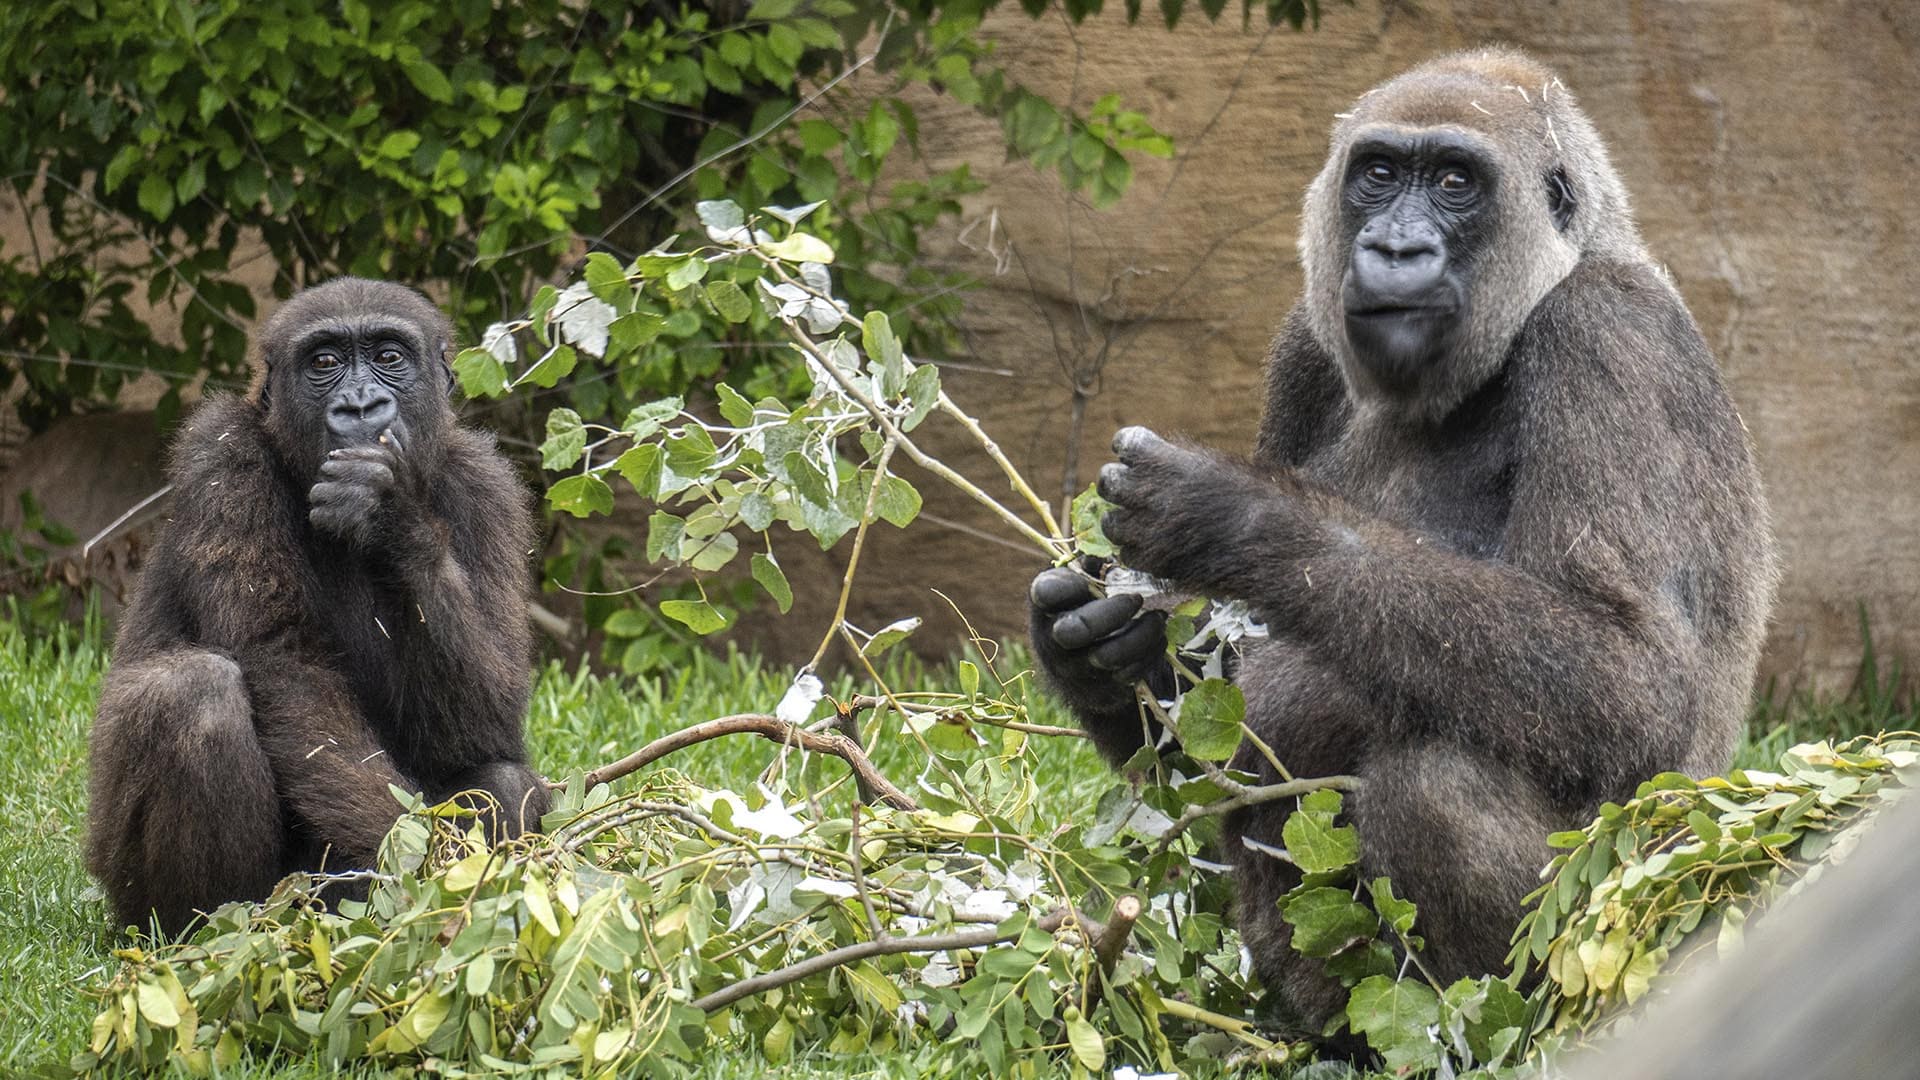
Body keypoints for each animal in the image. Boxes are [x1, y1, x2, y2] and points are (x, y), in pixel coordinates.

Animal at [90, 276, 549, 933]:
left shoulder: (489, 487)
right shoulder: (221, 456)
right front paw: (420, 882)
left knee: (504, 779)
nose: (359, 406)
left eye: (389, 356)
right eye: (325, 363)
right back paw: (209, 932)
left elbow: (490, 715)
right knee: (192, 694)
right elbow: (287, 667)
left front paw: (391, 514)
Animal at [1029, 50, 1774, 1022]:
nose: (1393, 249)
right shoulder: (1303, 351)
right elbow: (1202, 739)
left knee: (1437, 788)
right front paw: (1096, 648)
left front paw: (1240, 516)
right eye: (1378, 174)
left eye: (1456, 182)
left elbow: (1633, 675)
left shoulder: (1609, 333)